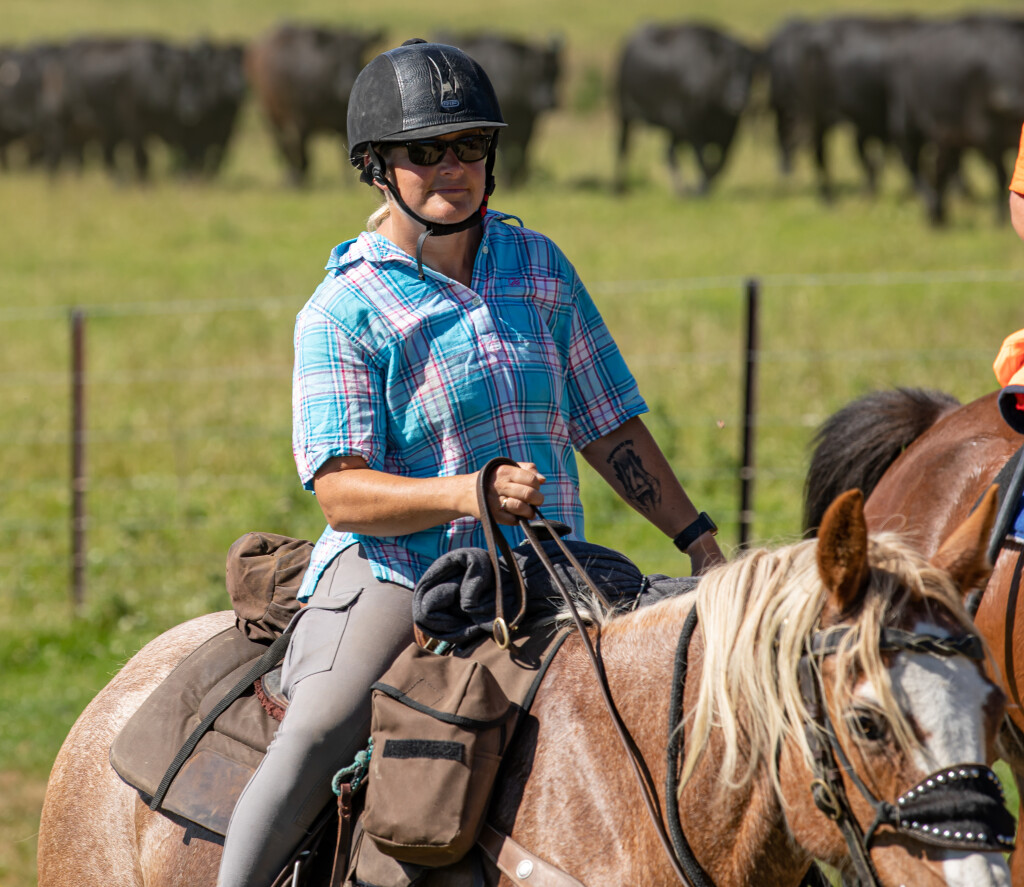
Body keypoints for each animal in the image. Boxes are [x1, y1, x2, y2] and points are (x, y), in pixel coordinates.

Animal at [245, 23, 382, 186]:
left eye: (359, 54)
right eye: (335, 57)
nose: (346, 84)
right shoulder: (301, 122)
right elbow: (304, 156)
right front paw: (298, 180)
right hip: (271, 116)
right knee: (283, 146)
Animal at [433, 32, 562, 187]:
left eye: (557, 73)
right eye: (537, 73)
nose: (550, 101)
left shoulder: (529, 123)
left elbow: (524, 149)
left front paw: (521, 179)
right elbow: (506, 152)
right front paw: (509, 181)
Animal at [615, 23, 758, 196]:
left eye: (751, 72)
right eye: (726, 70)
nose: (738, 100)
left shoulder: (730, 135)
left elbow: (720, 166)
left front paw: (697, 189)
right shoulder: (694, 131)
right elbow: (702, 163)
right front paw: (700, 191)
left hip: (674, 130)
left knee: (668, 153)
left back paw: (681, 188)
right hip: (624, 113)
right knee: (623, 147)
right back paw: (618, 187)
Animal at [887, 14, 1024, 225]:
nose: (1010, 99)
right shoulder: (989, 137)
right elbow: (999, 176)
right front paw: (998, 217)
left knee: (939, 168)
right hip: (912, 127)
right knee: (917, 165)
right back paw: (935, 210)